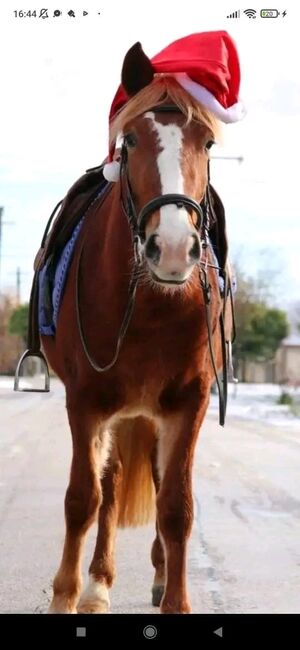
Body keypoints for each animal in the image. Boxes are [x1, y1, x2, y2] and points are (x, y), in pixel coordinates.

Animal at [42, 43, 232, 612]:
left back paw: (156, 574)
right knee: (109, 483)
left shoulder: (189, 400)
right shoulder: (85, 399)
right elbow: (83, 497)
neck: (152, 303)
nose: (171, 246)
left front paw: (177, 600)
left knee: (153, 476)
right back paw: (98, 583)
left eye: (206, 142)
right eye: (129, 140)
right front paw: (66, 594)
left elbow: (177, 506)